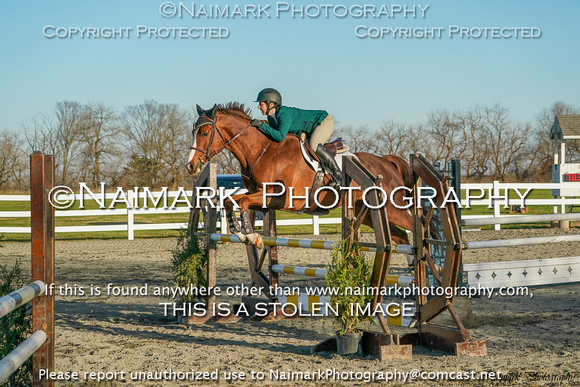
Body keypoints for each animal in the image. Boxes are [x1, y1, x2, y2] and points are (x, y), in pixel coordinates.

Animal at [187, 101, 422, 250]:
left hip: (392, 208)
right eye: (193, 131)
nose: (190, 166)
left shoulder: (279, 198)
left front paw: (251, 236)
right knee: (402, 236)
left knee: (419, 229)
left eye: (205, 133)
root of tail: (387, 161)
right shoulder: (261, 197)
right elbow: (231, 200)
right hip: (367, 213)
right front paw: (244, 233)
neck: (262, 150)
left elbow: (242, 201)